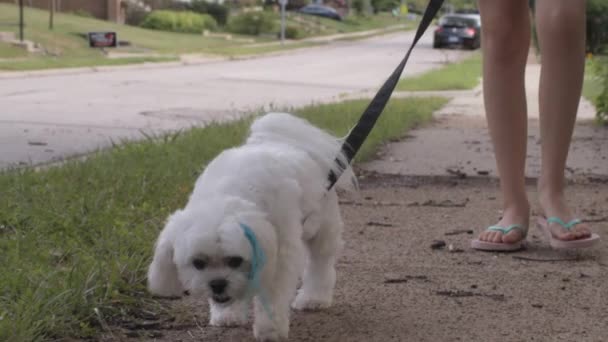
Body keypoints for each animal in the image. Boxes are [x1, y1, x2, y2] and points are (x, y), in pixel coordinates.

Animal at [147, 113, 354, 342]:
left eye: (235, 260)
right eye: (198, 263)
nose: (217, 284)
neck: (229, 190)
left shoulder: (278, 253)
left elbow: (272, 293)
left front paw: (270, 330)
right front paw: (228, 314)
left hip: (323, 226)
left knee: (321, 263)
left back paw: (314, 298)